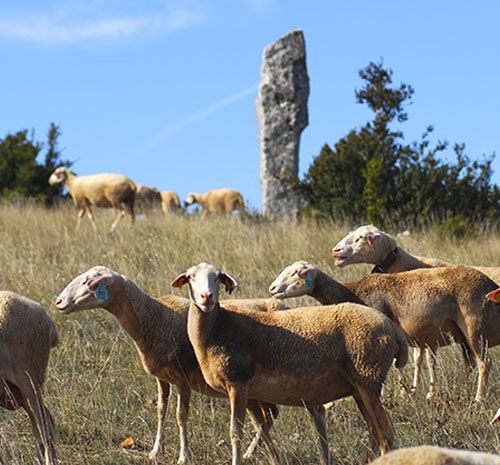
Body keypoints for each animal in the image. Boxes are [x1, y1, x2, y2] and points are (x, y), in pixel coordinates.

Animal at [54, 266, 286, 462]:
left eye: (88, 281)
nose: (58, 301)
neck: (153, 318)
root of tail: (282, 304)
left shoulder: (183, 378)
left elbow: (181, 416)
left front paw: (184, 456)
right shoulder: (161, 377)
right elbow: (161, 410)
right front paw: (156, 451)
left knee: (267, 417)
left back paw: (249, 452)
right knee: (269, 416)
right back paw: (251, 452)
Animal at [170, 260, 408, 464]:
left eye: (218, 277)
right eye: (190, 277)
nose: (206, 297)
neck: (218, 327)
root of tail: (390, 326)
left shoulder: (237, 382)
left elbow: (236, 432)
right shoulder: (250, 392)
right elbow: (262, 428)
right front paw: (275, 459)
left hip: (368, 377)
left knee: (386, 433)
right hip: (359, 386)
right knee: (375, 432)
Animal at [270, 260, 500, 400]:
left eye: (296, 273)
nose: (272, 289)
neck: (352, 291)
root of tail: (490, 285)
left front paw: (397, 394)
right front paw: (408, 392)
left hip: (475, 329)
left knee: (484, 363)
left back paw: (478, 399)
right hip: (464, 336)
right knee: (469, 364)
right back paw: (454, 393)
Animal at [330, 223, 500, 394]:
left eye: (359, 238)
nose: (335, 250)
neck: (404, 264)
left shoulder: (428, 329)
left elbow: (427, 361)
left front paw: (421, 391)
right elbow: (417, 359)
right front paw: (415, 388)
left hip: (475, 331)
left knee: (483, 363)